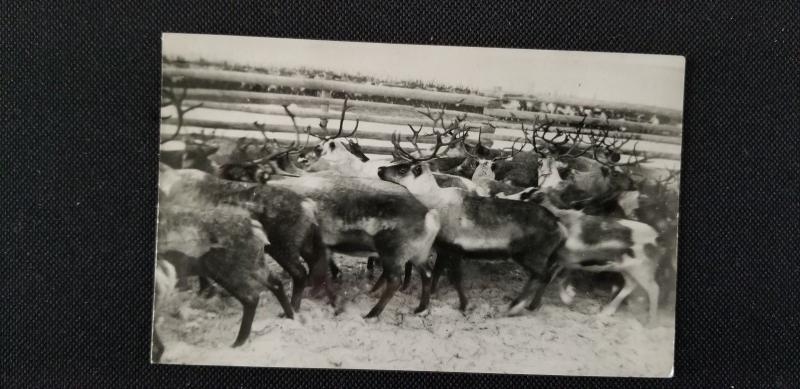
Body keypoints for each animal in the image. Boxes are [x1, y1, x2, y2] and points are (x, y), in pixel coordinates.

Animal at [380, 126, 564, 314]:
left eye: (403, 169)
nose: (380, 169)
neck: (433, 202)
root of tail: (559, 225)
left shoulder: (452, 247)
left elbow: (453, 277)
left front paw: (461, 303)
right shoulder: (445, 248)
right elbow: (443, 273)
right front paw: (441, 296)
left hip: (531, 255)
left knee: (543, 275)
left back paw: (519, 305)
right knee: (544, 275)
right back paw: (530, 304)